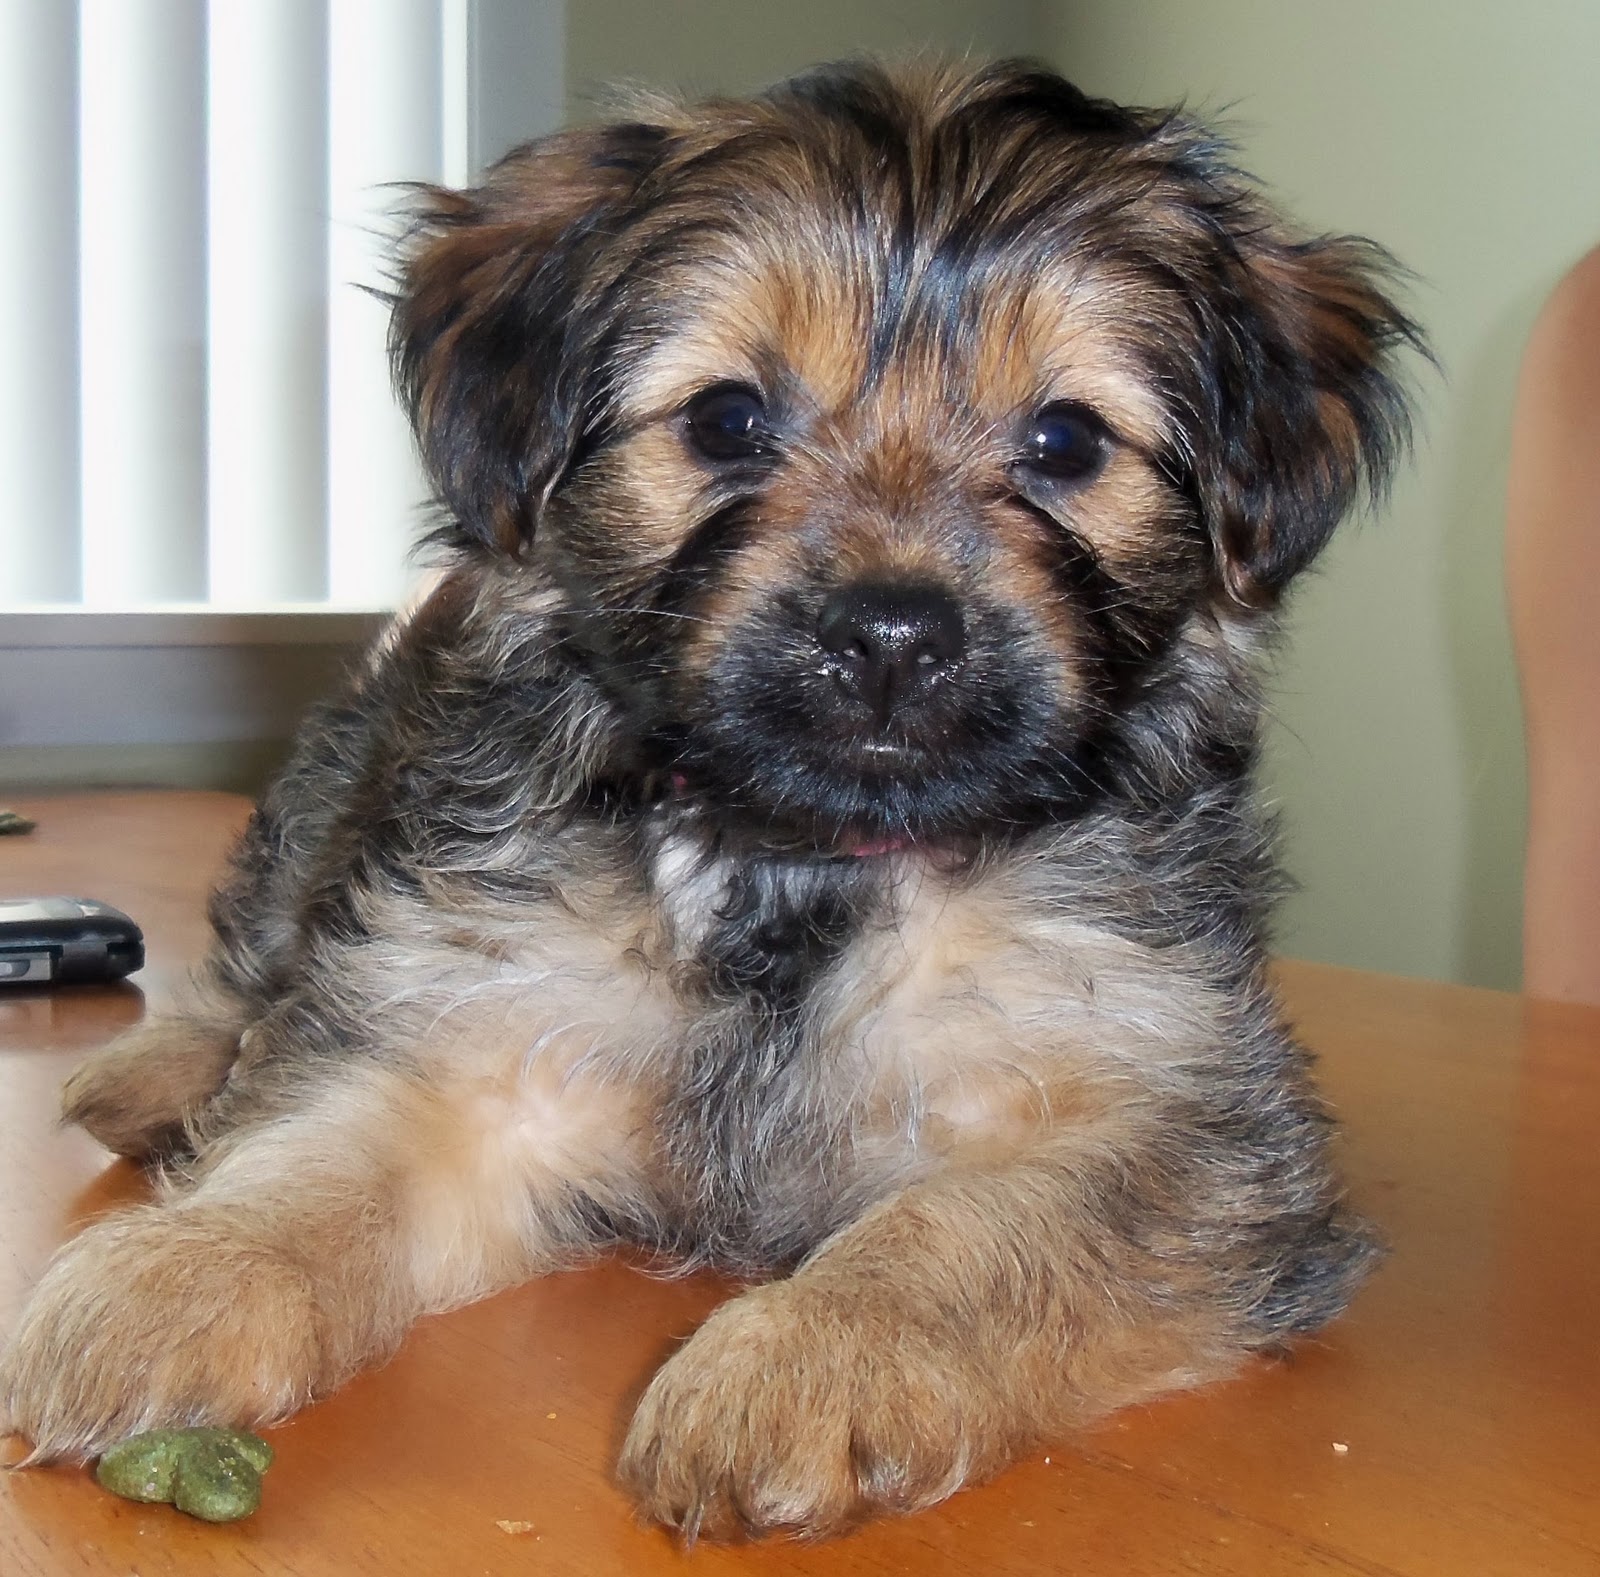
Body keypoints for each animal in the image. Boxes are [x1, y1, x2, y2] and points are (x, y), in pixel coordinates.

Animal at [3, 61, 1427, 1535]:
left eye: (1068, 439)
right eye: (727, 420)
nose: (893, 630)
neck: (801, 856)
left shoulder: (1173, 1118)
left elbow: (968, 1230)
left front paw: (815, 1354)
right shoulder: (474, 1032)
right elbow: (327, 1154)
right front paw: (184, 1270)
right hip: (337, 780)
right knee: (264, 952)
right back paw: (166, 1072)